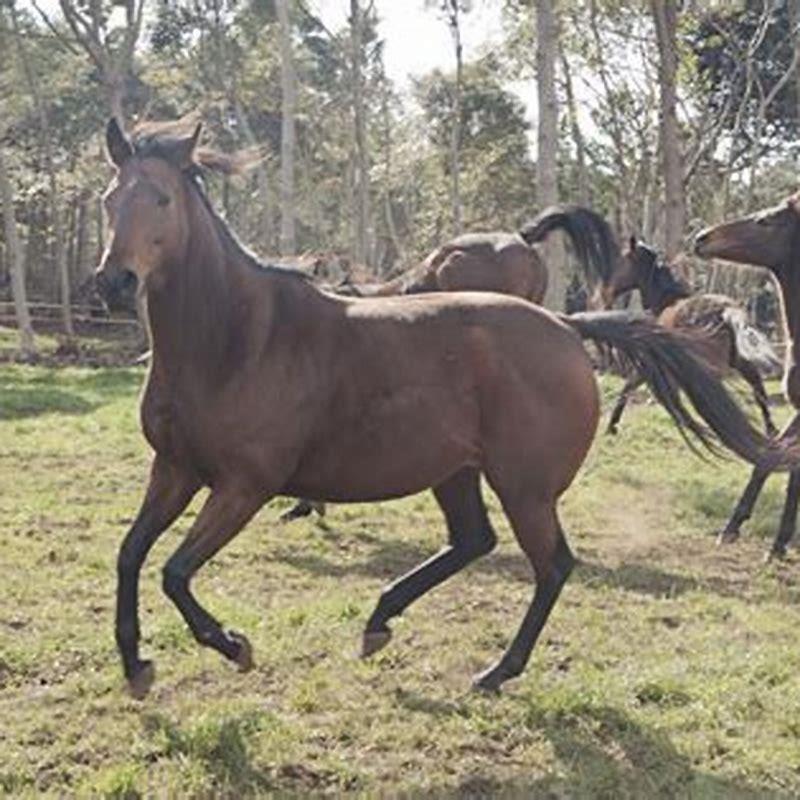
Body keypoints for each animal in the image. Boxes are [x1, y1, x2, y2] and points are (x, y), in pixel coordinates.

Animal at [604, 237, 779, 437]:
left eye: (623, 260)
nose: (608, 291)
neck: (665, 301)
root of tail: (727, 310)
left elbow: (630, 387)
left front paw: (611, 427)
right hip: (738, 361)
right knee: (757, 385)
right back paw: (770, 429)